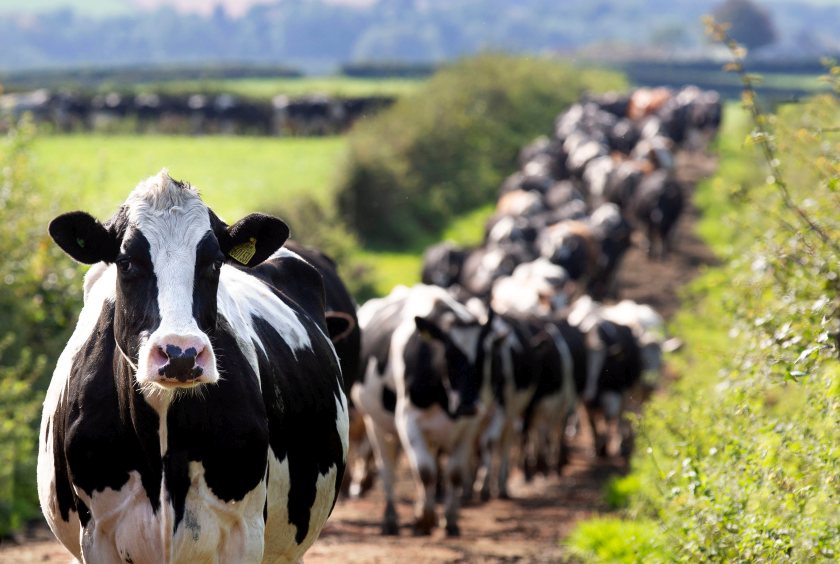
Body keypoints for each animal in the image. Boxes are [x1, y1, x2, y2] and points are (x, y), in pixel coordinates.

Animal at [352, 286, 496, 536]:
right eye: (448, 355)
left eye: (482, 356)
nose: (467, 404)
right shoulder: (407, 420)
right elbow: (425, 471)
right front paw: (426, 519)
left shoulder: (469, 425)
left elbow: (454, 474)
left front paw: (449, 520)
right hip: (375, 423)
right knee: (387, 468)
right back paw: (390, 518)